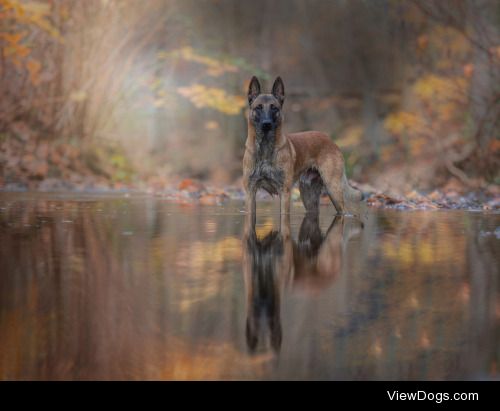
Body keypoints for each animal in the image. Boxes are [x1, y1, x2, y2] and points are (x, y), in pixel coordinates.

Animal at [241, 75, 362, 220]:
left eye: (274, 108)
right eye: (258, 108)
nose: (266, 124)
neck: (265, 147)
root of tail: (329, 139)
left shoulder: (285, 192)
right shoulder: (250, 192)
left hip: (333, 190)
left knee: (344, 210)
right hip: (308, 198)